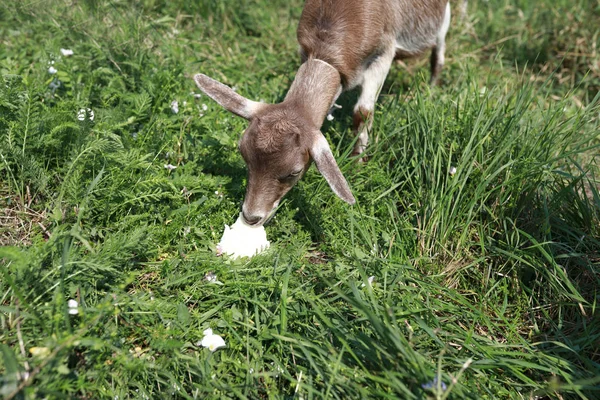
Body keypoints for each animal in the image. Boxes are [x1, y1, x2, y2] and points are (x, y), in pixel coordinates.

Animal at [195, 0, 452, 225]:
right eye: (244, 155)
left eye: (294, 172)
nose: (251, 217)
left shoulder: (384, 51)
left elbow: (363, 111)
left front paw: (358, 162)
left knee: (439, 49)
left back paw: (432, 88)